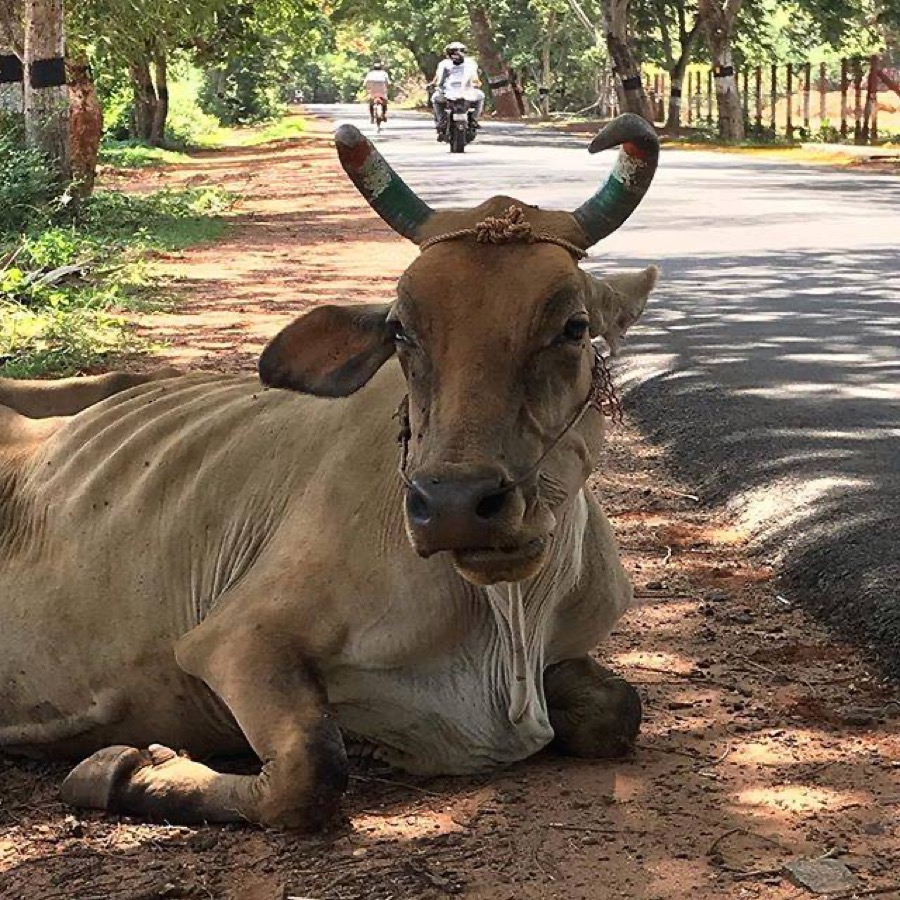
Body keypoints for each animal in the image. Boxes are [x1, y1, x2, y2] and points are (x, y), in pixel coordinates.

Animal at [0, 114, 659, 830]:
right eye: (400, 331)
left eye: (574, 326)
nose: (455, 505)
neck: (507, 620)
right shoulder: (234, 639)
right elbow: (311, 770)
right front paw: (124, 770)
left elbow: (618, 710)